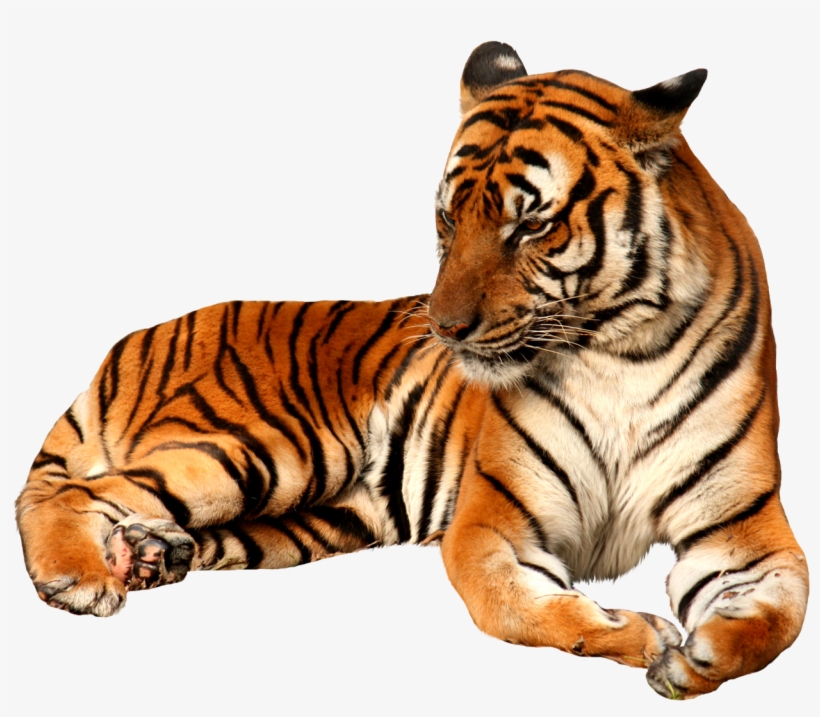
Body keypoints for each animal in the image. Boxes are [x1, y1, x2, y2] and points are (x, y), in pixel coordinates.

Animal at [15, 41, 807, 700]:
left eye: (531, 224)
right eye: (448, 219)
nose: (445, 328)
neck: (618, 352)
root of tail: (133, 339)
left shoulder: (742, 524)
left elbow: (784, 616)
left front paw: (698, 658)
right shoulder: (493, 521)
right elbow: (516, 608)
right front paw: (642, 635)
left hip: (312, 518)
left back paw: (150, 553)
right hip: (267, 448)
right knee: (70, 492)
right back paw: (78, 578)